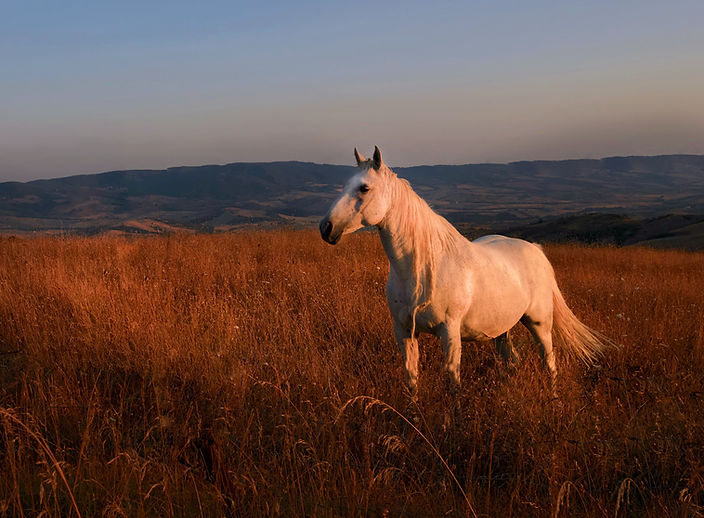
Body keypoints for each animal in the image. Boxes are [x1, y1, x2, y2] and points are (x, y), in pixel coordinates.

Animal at [319, 146, 612, 398]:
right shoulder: (404, 332)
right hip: (502, 329)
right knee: (511, 360)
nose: (326, 227)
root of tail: (536, 250)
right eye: (345, 185)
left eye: (364, 187)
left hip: (539, 323)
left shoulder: (449, 331)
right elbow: (411, 379)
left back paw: (554, 401)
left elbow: (453, 381)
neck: (422, 269)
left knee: (549, 362)